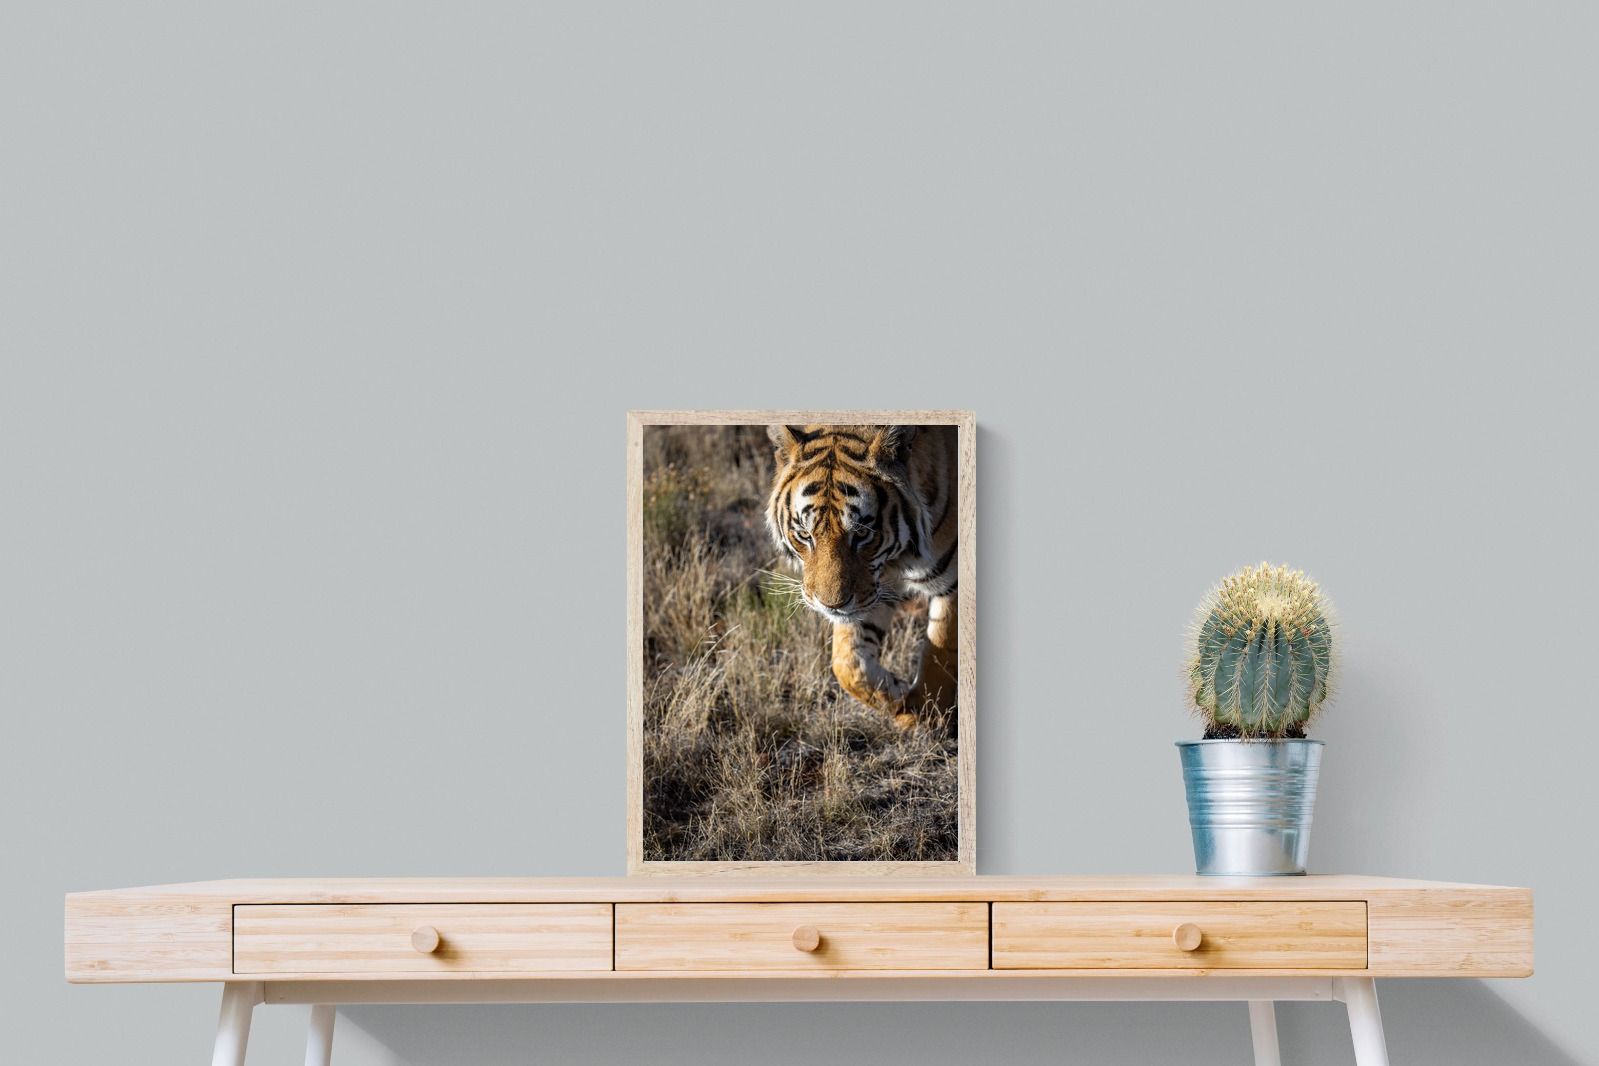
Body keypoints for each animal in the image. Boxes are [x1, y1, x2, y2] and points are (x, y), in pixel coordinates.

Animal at [765, 423, 959, 729]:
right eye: (805, 535)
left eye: (862, 533)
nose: (831, 605)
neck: (897, 559)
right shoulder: (872, 589)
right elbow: (847, 663)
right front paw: (899, 697)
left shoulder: (952, 582)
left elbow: (940, 648)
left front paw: (928, 715)